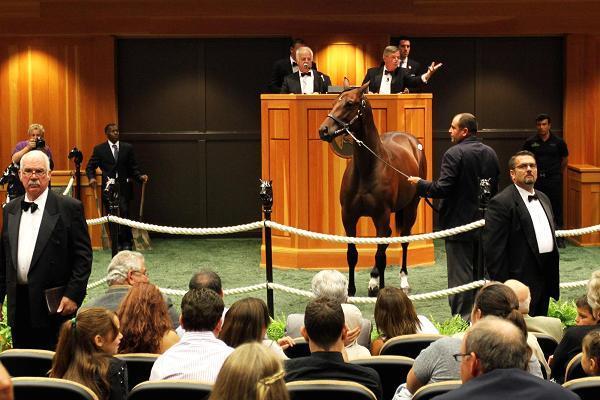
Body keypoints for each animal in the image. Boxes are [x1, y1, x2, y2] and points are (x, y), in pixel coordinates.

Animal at [318, 80, 426, 296]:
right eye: (334, 102)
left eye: (350, 104)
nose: (324, 130)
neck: (367, 168)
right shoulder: (348, 216)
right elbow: (352, 254)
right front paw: (351, 290)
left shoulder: (381, 216)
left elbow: (380, 255)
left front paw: (380, 286)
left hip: (411, 208)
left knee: (403, 240)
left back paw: (402, 281)